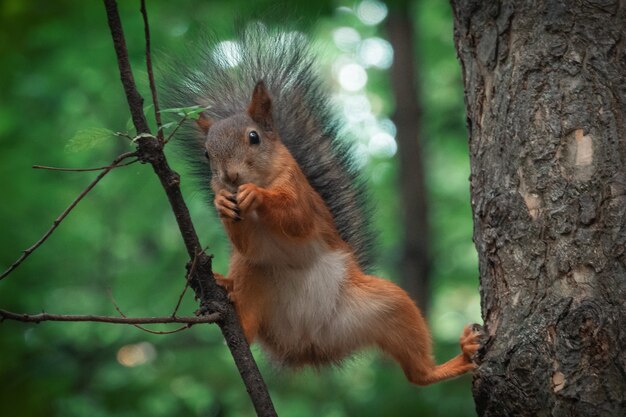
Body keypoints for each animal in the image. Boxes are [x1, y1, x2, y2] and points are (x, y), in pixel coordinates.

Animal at [165, 25, 478, 384]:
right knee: (248, 318)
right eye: (207, 154)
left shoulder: (302, 197)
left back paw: (459, 358)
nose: (230, 177)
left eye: (254, 137)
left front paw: (256, 195)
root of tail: (308, 346)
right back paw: (221, 291)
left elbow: (297, 219)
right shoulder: (249, 239)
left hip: (389, 307)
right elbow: (247, 244)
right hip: (256, 280)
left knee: (419, 373)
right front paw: (222, 203)